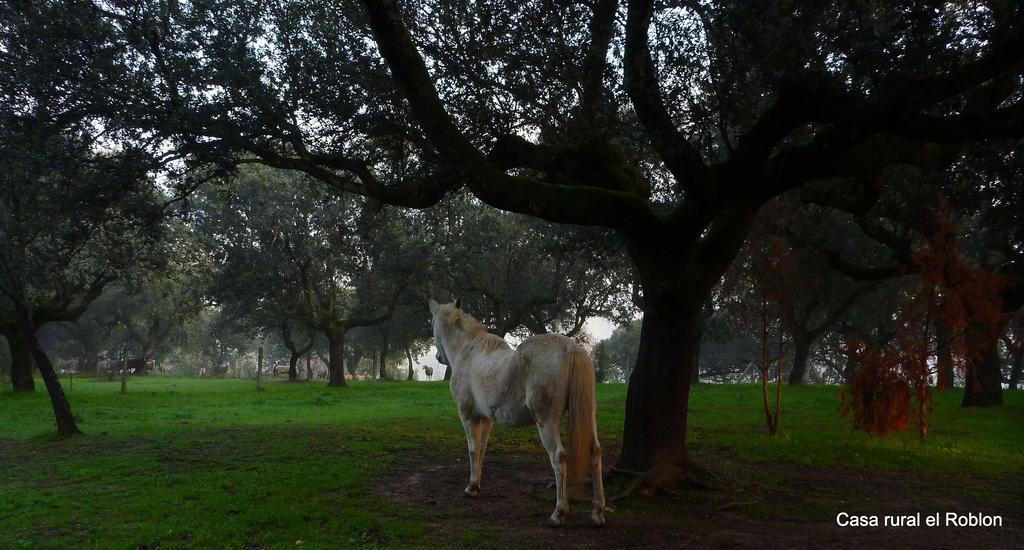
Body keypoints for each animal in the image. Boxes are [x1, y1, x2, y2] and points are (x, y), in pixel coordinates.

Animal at [425, 299, 602, 524]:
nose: (439, 357)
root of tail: (570, 348)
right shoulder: (486, 418)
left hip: (546, 421)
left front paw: (471, 487)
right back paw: (598, 512)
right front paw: (477, 484)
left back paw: (559, 512)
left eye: (433, 324)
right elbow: (481, 448)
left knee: (558, 456)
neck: (469, 351)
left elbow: (472, 449)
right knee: (595, 451)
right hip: (589, 414)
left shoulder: (468, 415)